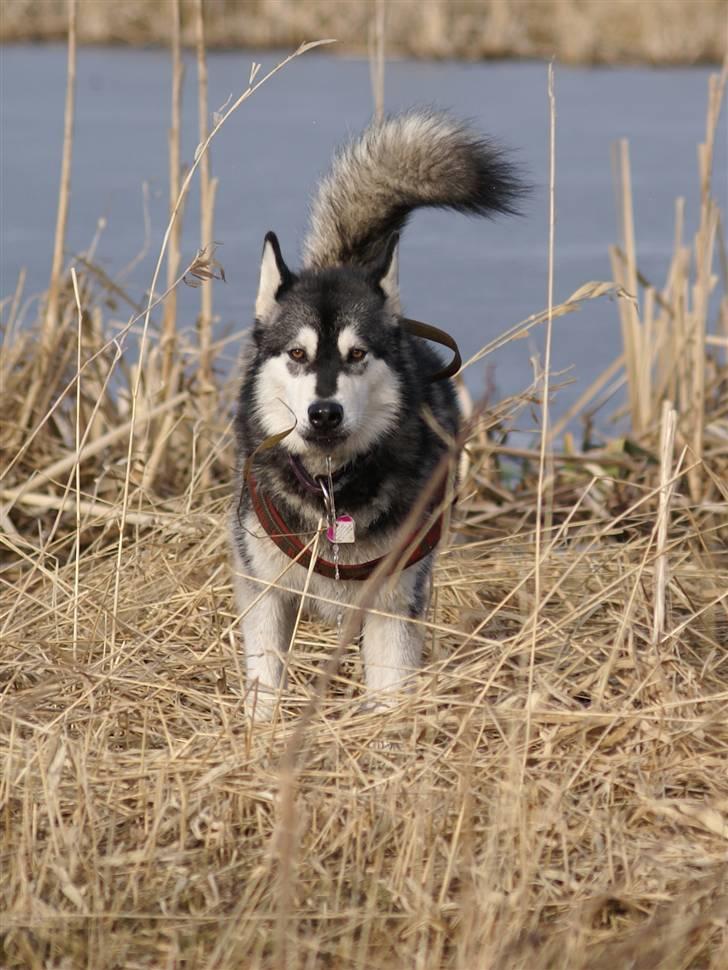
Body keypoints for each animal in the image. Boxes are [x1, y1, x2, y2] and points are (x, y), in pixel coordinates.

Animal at [230, 109, 520, 716]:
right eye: (297, 354)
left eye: (357, 354)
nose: (324, 413)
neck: (331, 490)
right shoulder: (265, 590)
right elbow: (266, 682)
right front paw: (260, 729)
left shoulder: (394, 599)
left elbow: (390, 690)